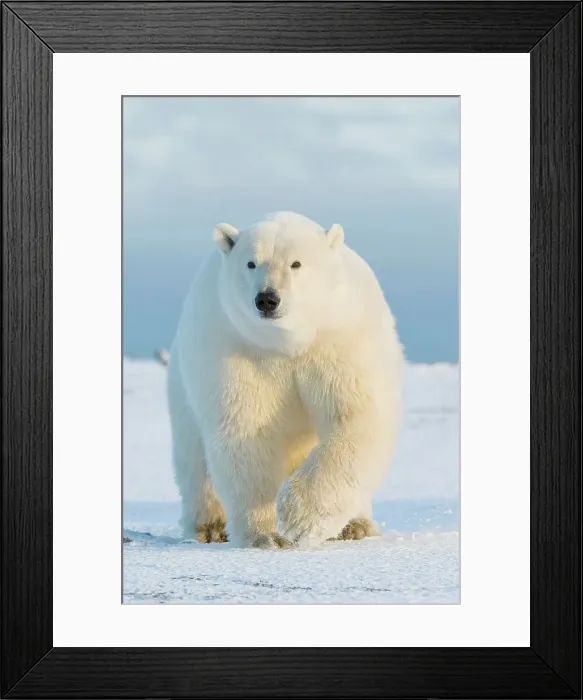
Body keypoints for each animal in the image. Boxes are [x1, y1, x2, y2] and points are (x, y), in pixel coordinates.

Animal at [167, 211, 403, 549]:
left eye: (296, 263)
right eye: (251, 263)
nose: (267, 299)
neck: (287, 343)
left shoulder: (340, 339)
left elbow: (355, 416)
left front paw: (298, 519)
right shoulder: (237, 349)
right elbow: (246, 430)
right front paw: (265, 535)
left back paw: (355, 525)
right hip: (183, 389)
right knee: (195, 461)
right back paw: (209, 527)